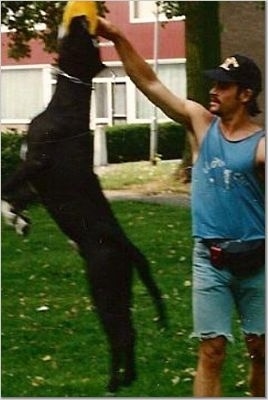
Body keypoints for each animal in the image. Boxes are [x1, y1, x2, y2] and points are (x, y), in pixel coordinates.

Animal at [1, 14, 165, 392]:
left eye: (85, 39)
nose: (80, 18)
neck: (66, 101)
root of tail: (126, 246)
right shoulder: (34, 181)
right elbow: (16, 196)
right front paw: (18, 220)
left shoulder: (34, 163)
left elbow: (4, 186)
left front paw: (10, 214)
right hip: (120, 288)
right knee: (129, 332)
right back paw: (128, 378)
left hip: (103, 286)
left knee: (120, 335)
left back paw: (114, 382)